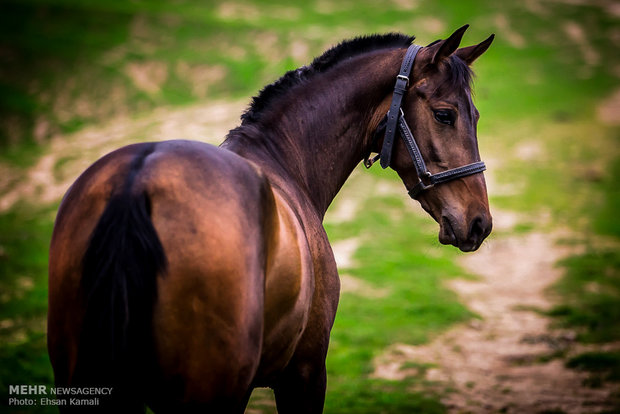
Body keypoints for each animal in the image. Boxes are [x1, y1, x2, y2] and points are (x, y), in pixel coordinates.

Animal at [48, 24, 494, 412]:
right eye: (445, 115)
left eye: (476, 116)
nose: (480, 223)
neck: (283, 158)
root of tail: (137, 182)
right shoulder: (305, 372)